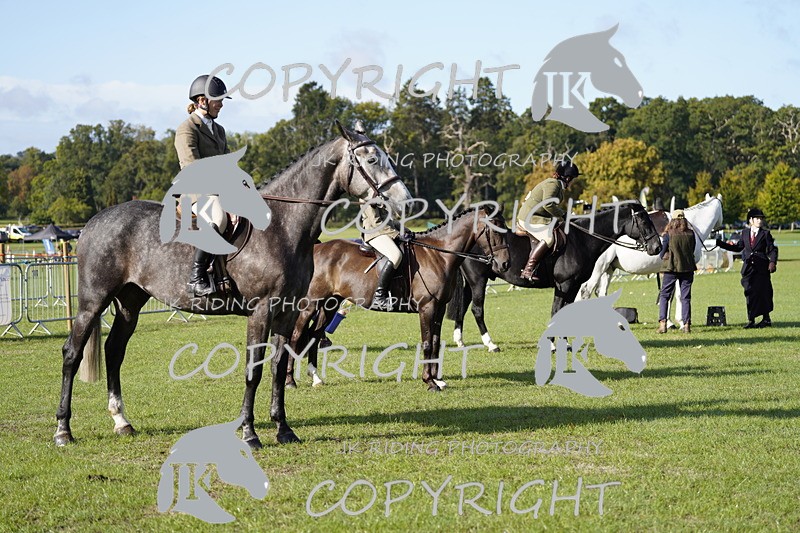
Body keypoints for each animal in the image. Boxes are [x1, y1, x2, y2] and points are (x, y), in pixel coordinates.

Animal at [55, 122, 413, 449]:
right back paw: (63, 431)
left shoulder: (286, 312)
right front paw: (250, 434)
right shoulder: (261, 312)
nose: (405, 201)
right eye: (371, 159)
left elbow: (277, 367)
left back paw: (121, 421)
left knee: (115, 351)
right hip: (93, 301)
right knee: (72, 353)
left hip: (131, 302)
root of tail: (95, 221)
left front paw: (283, 429)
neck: (281, 227)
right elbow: (253, 370)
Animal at [287, 206, 510, 391]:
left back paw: (316, 378)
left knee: (315, 336)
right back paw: (290, 381)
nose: (505, 264)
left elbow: (435, 342)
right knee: (297, 336)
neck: (438, 256)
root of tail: (316, 249)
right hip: (310, 305)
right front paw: (429, 382)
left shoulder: (438, 308)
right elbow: (427, 343)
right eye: (496, 229)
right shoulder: (427, 308)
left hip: (330, 304)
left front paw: (438, 380)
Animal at [447, 201, 662, 352]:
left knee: (463, 307)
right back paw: (490, 344)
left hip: (471, 283)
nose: (657, 247)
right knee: (477, 309)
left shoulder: (572, 286)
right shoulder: (564, 285)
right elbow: (556, 311)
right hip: (478, 281)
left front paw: (564, 343)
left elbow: (564, 310)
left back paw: (460, 341)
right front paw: (552, 344)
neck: (581, 239)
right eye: (644, 221)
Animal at [577, 194, 723, 326]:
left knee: (601, 293)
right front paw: (680, 321)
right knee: (585, 291)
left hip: (609, 268)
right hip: (599, 269)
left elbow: (669, 295)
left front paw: (669, 322)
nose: (718, 231)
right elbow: (677, 295)